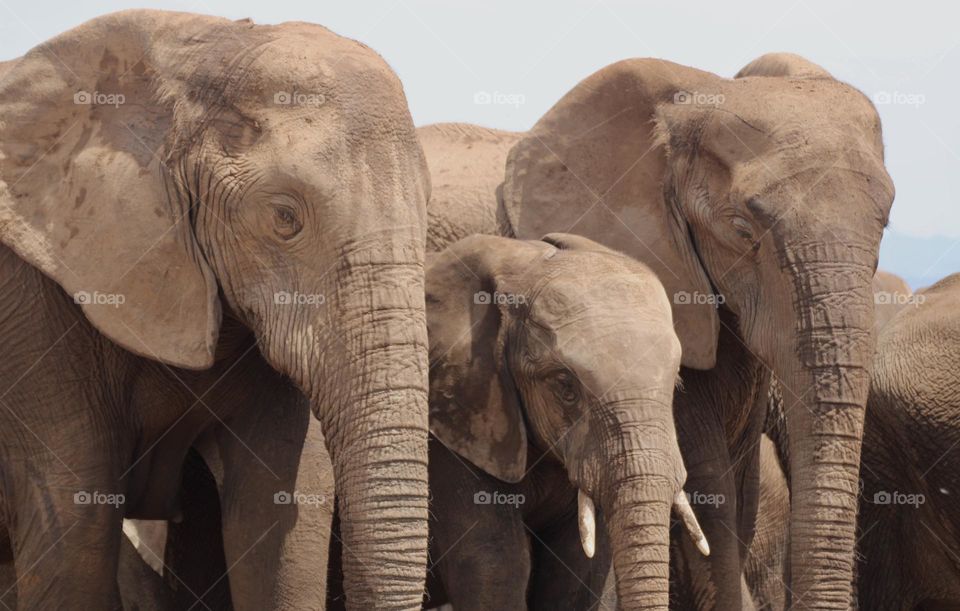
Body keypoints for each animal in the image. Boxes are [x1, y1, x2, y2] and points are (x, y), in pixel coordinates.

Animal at [328, 234, 704, 611]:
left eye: (675, 386)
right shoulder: (456, 425)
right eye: (565, 386)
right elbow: (494, 564)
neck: (525, 265)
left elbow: (576, 574)